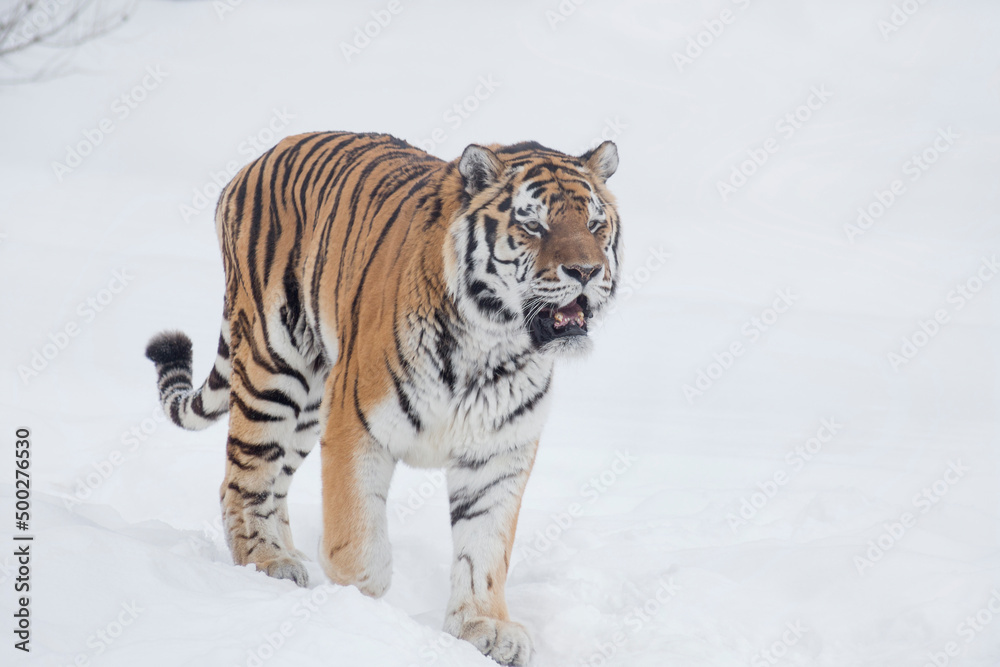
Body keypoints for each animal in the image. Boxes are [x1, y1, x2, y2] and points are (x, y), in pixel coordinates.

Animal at [144, 131, 621, 666]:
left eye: (595, 224)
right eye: (534, 225)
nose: (586, 271)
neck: (492, 343)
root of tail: (263, 156)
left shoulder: (498, 451)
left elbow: (485, 546)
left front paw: (484, 627)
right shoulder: (356, 425)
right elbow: (356, 537)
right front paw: (358, 605)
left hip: (309, 405)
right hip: (274, 368)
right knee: (244, 479)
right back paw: (268, 565)